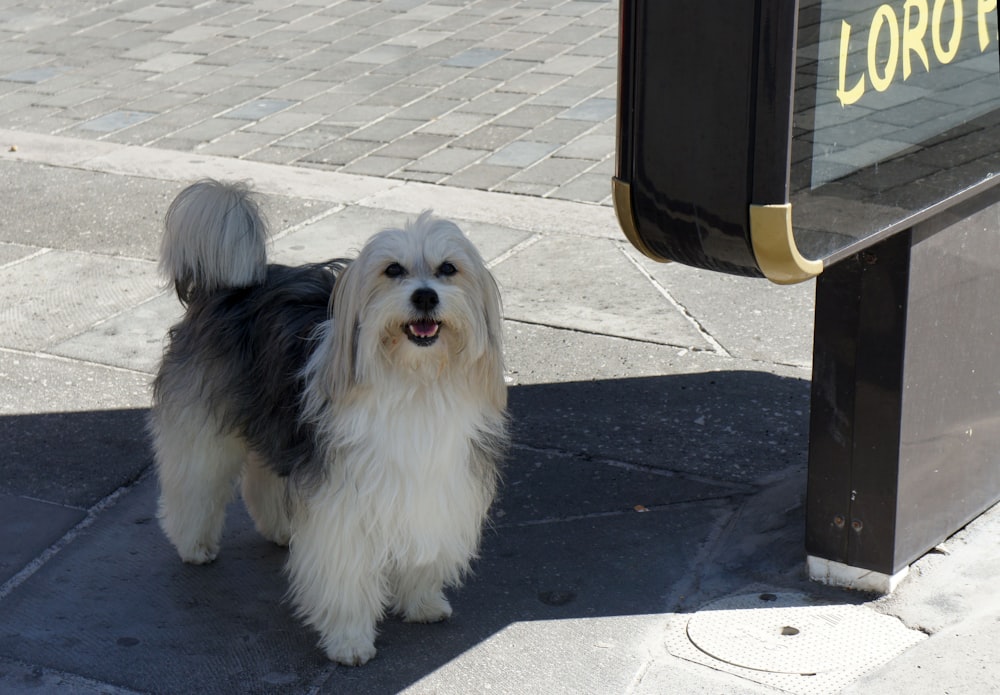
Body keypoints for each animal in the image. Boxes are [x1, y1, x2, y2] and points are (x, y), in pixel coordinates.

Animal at [148, 181, 508, 668]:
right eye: (392, 270)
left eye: (448, 268)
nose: (425, 296)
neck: (414, 381)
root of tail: (232, 285)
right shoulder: (342, 504)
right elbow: (345, 575)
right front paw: (349, 639)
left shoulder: (432, 485)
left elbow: (422, 546)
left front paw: (421, 601)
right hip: (205, 429)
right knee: (194, 484)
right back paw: (195, 545)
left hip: (277, 422)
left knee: (263, 476)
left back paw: (280, 528)